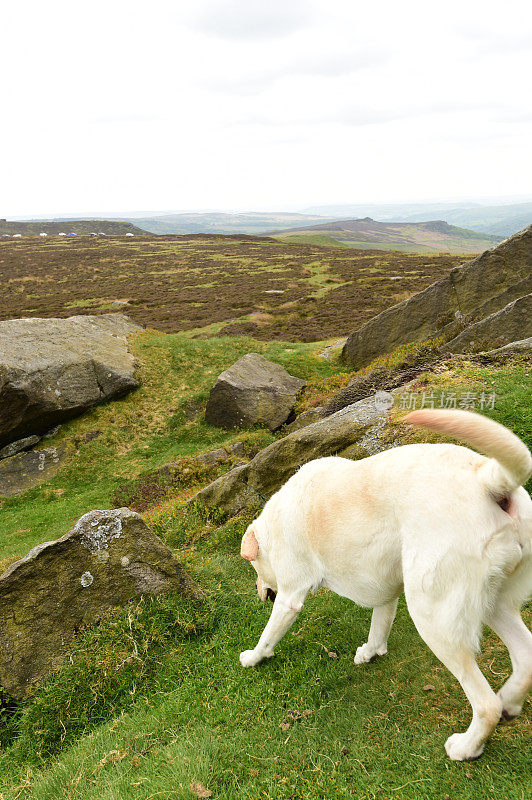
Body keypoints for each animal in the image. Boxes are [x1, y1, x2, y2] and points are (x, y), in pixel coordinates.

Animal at [240, 412, 532, 764]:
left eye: (255, 568)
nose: (260, 591)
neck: (274, 522)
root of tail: (485, 479)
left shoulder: (289, 597)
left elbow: (268, 634)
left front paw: (253, 657)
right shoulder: (385, 587)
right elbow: (380, 625)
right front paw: (371, 652)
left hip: (433, 617)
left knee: (486, 704)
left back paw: (466, 746)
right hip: (494, 603)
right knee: (526, 659)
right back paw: (510, 702)